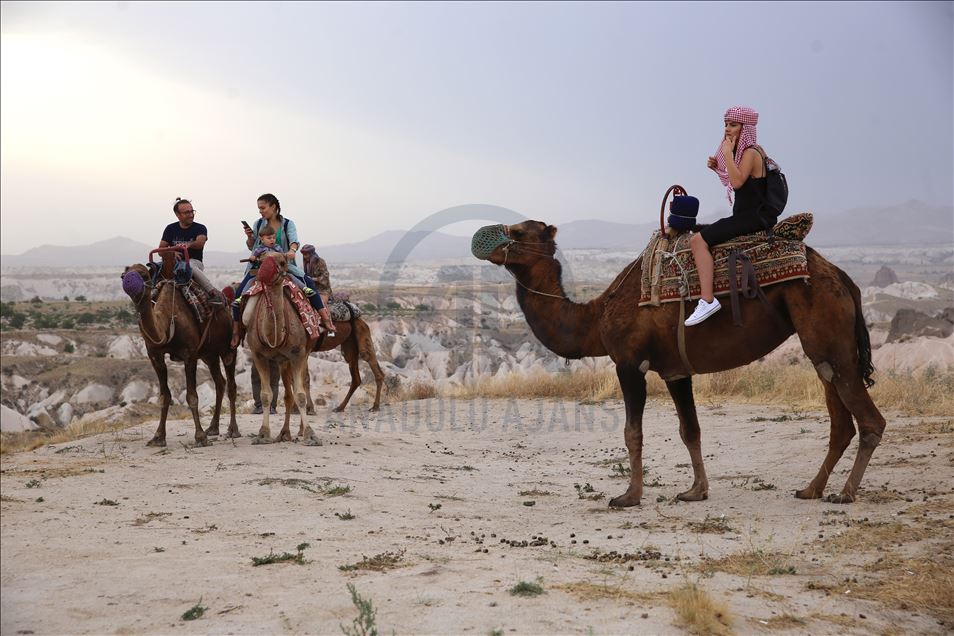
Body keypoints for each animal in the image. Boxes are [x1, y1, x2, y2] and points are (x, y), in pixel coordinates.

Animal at [121, 247, 238, 447]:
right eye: (124, 274)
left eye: (144, 275)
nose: (129, 282)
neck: (168, 319)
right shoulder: (155, 356)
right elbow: (164, 396)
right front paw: (158, 437)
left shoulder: (189, 354)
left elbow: (192, 395)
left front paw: (200, 437)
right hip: (209, 354)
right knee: (220, 382)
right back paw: (213, 428)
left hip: (228, 347)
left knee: (231, 384)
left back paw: (232, 430)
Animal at [241, 253, 317, 443]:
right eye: (261, 260)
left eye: (282, 262)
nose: (261, 273)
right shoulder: (258, 355)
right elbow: (266, 395)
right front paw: (263, 433)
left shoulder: (298, 354)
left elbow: (300, 395)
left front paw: (310, 434)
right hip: (283, 361)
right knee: (288, 395)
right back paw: (285, 433)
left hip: (304, 353)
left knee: (302, 385)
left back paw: (298, 431)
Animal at [472, 221, 886, 506]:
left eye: (518, 231)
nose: (481, 241)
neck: (596, 314)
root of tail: (844, 278)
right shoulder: (676, 370)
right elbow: (691, 430)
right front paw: (696, 490)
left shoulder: (629, 363)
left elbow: (632, 432)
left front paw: (628, 496)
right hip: (823, 345)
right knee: (839, 417)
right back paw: (811, 489)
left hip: (829, 331)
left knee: (869, 419)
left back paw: (845, 494)